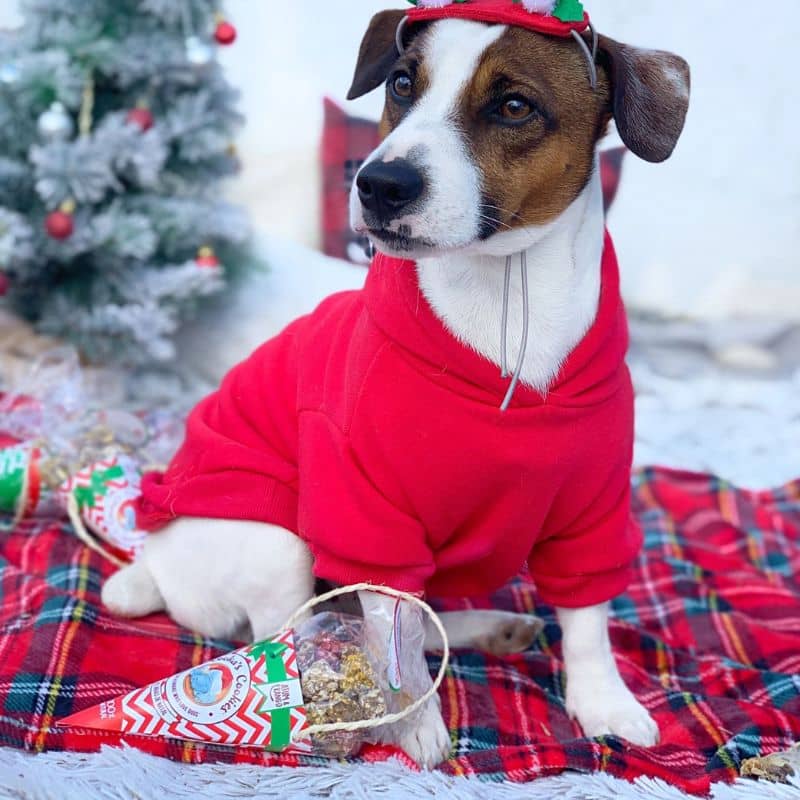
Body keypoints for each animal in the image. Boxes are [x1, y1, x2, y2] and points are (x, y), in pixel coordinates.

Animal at [100, 4, 688, 768]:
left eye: (514, 106)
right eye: (403, 83)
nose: (379, 183)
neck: (508, 300)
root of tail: (153, 562)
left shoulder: (593, 506)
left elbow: (587, 618)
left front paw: (605, 704)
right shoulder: (370, 514)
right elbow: (396, 638)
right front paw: (412, 723)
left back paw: (490, 625)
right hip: (277, 537)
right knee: (303, 627)